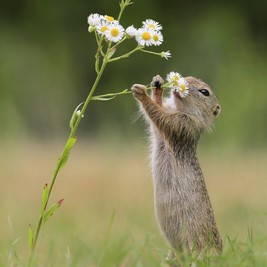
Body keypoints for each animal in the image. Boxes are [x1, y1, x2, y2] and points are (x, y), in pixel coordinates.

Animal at [132, 75, 224, 262]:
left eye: (205, 92)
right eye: (190, 77)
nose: (183, 80)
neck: (181, 109)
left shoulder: (182, 125)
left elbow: (159, 116)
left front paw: (142, 93)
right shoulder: (165, 129)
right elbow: (157, 116)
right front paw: (157, 85)